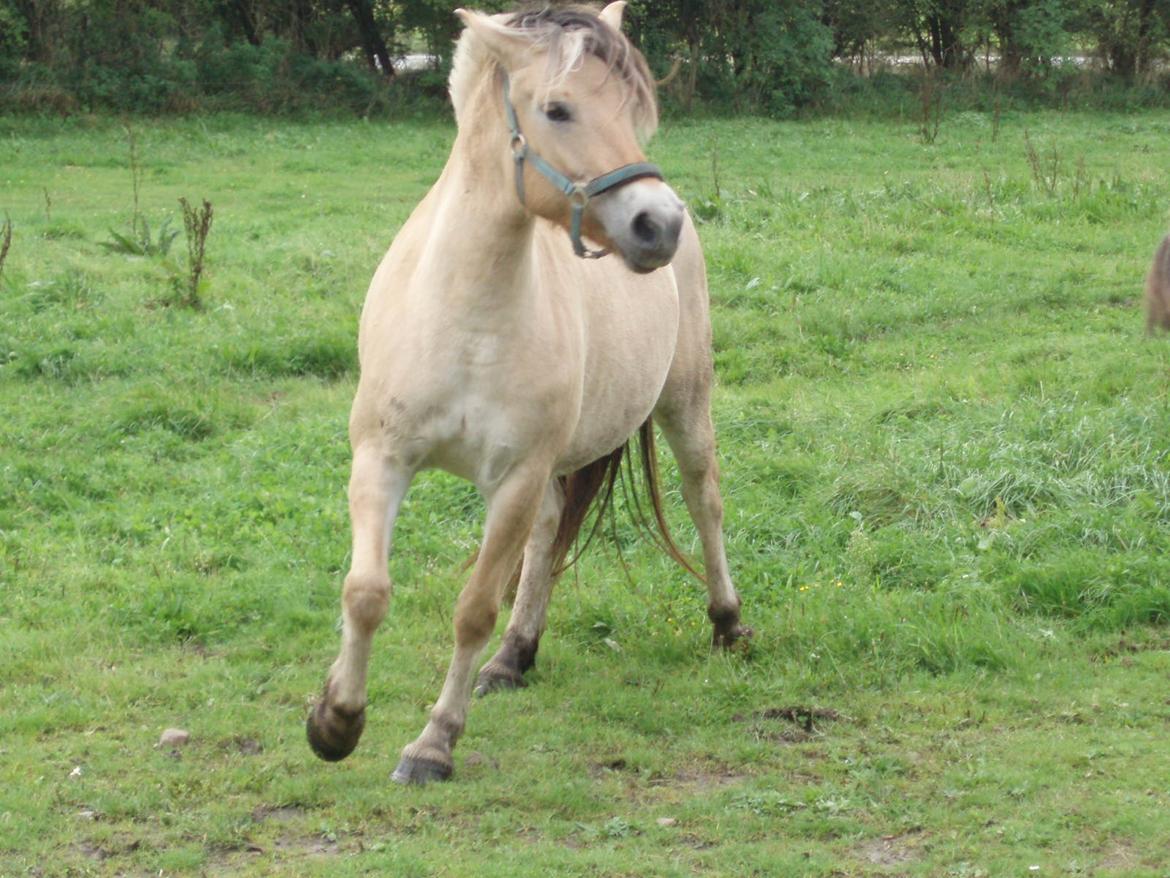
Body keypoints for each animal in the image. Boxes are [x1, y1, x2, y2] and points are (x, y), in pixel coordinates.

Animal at [306, 0, 748, 782]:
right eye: (557, 109)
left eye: (634, 111)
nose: (658, 224)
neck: (466, 317)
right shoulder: (382, 460)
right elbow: (365, 593)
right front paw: (336, 720)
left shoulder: (512, 479)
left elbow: (474, 608)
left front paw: (433, 744)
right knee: (548, 535)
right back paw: (514, 657)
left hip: (683, 404)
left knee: (705, 501)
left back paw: (726, 624)